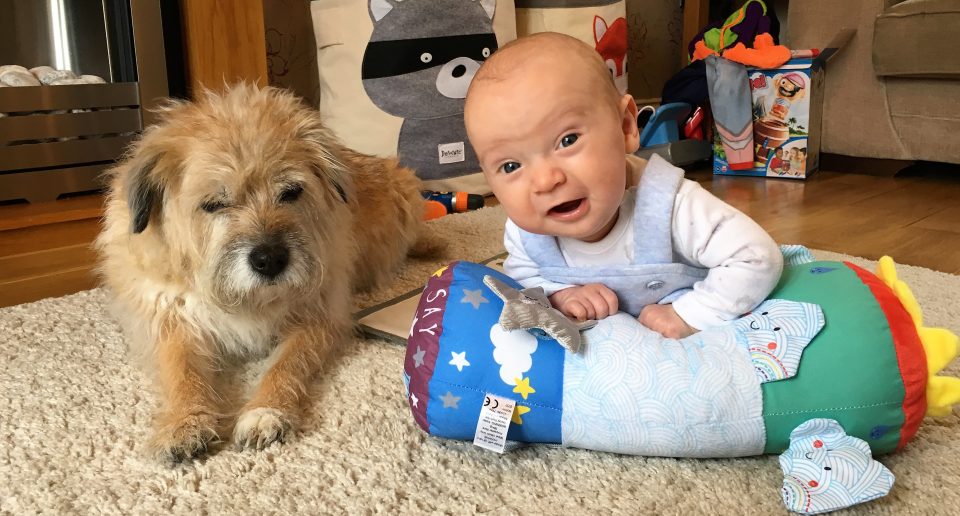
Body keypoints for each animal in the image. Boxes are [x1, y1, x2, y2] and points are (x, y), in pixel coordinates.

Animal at [96, 84, 428, 464]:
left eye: (291, 192)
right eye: (214, 204)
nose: (270, 260)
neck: (246, 299)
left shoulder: (318, 316)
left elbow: (286, 365)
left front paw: (265, 411)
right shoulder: (172, 320)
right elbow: (182, 371)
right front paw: (185, 422)